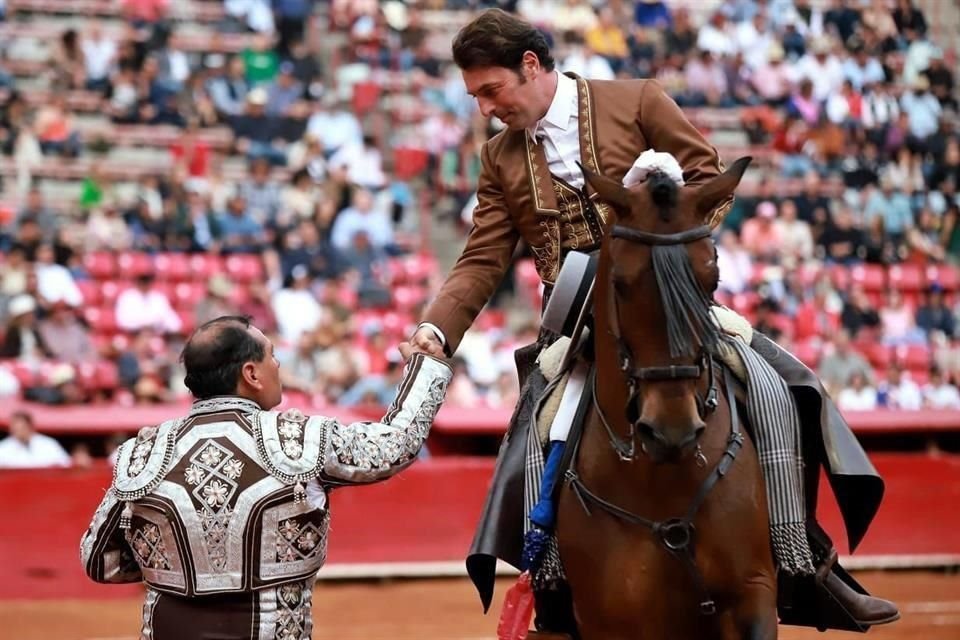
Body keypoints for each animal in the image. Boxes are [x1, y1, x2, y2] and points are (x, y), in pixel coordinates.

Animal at [556, 156, 780, 640]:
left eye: (712, 278)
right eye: (620, 283)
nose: (672, 432)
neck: (659, 483)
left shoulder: (753, 592)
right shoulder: (607, 619)